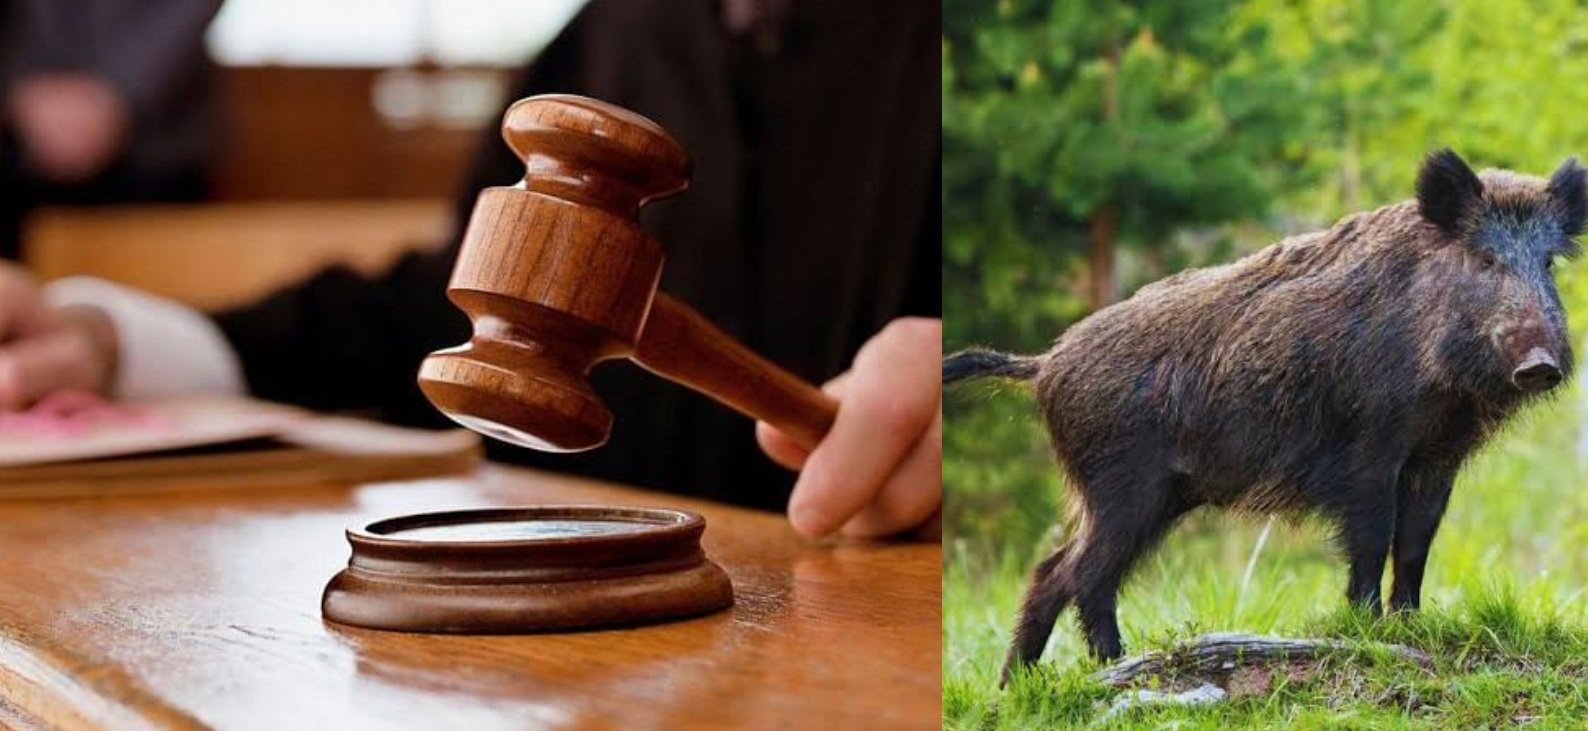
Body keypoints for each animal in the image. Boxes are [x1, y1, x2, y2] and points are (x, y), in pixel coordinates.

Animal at [944, 150, 1587, 685]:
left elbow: (1415, 544)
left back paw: (1016, 686)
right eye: (1485, 258)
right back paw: (1115, 667)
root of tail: (1044, 364)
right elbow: (1372, 539)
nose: (1540, 364)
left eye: (1549, 263)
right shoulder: (1369, 449)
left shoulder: (1437, 457)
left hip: (1145, 495)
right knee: (1085, 575)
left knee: (1051, 571)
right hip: (1124, 487)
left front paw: (1410, 628)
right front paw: (1367, 631)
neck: (1443, 390)